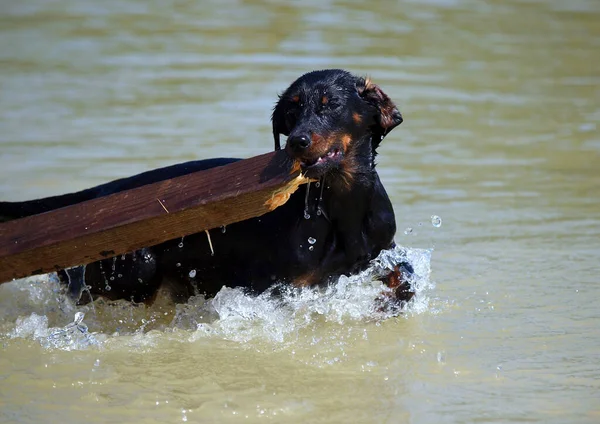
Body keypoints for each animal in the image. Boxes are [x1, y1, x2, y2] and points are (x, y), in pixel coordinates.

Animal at [0, 68, 412, 304]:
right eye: (292, 110)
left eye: (331, 104)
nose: (297, 142)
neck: (341, 206)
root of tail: (99, 194)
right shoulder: (276, 286)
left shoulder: (381, 250)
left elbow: (404, 274)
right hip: (133, 270)